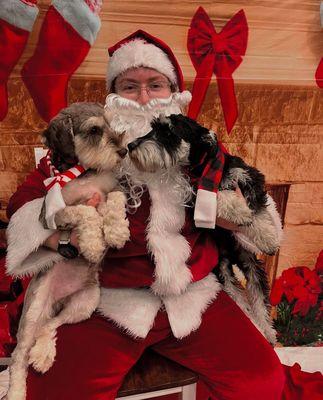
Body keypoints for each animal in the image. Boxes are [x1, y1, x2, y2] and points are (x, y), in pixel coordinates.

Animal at [128, 113, 282, 344]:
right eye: (152, 128)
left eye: (167, 132)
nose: (130, 145)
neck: (204, 168)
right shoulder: (194, 196)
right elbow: (220, 198)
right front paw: (239, 211)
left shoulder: (249, 178)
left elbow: (259, 211)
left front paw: (268, 237)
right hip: (223, 271)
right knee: (240, 298)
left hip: (252, 265)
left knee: (259, 298)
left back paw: (268, 332)